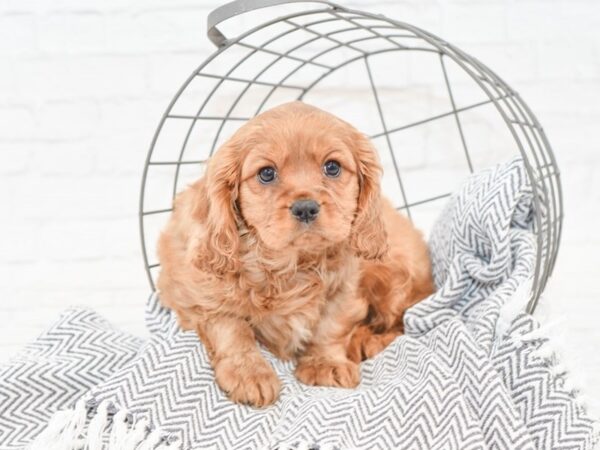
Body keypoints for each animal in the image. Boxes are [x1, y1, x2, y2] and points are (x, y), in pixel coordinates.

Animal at [157, 102, 434, 408]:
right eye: (266, 173)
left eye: (332, 167)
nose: (305, 208)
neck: (291, 264)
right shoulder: (198, 294)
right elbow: (232, 329)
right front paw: (250, 375)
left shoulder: (345, 289)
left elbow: (331, 325)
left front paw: (326, 363)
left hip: (396, 278)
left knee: (400, 322)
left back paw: (365, 341)